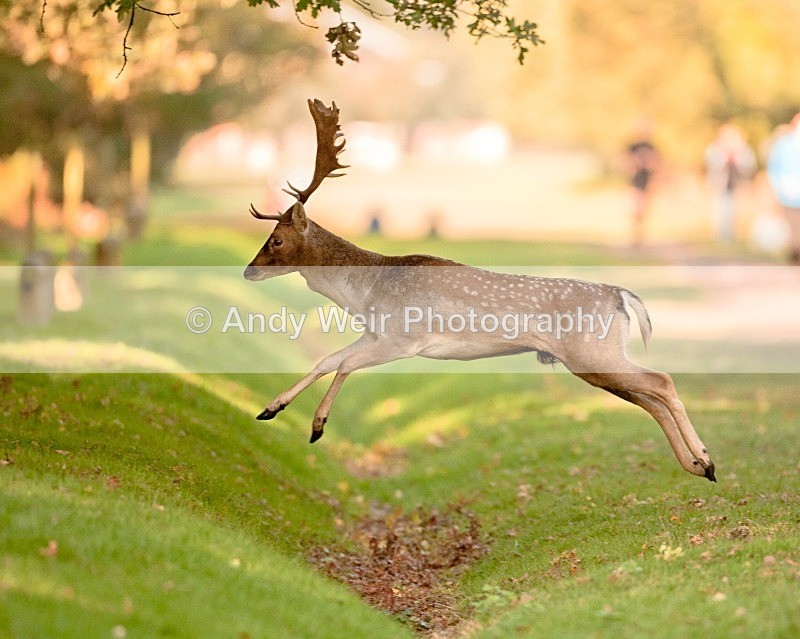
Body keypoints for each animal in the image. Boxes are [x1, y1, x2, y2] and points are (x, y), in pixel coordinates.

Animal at [244, 99, 716, 482]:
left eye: (277, 240)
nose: (248, 270)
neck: (365, 293)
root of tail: (621, 296)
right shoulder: (375, 333)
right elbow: (327, 360)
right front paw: (273, 410)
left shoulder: (404, 338)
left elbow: (344, 364)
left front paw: (315, 425)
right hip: (593, 361)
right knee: (649, 398)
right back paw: (696, 467)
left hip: (592, 352)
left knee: (661, 381)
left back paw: (707, 460)